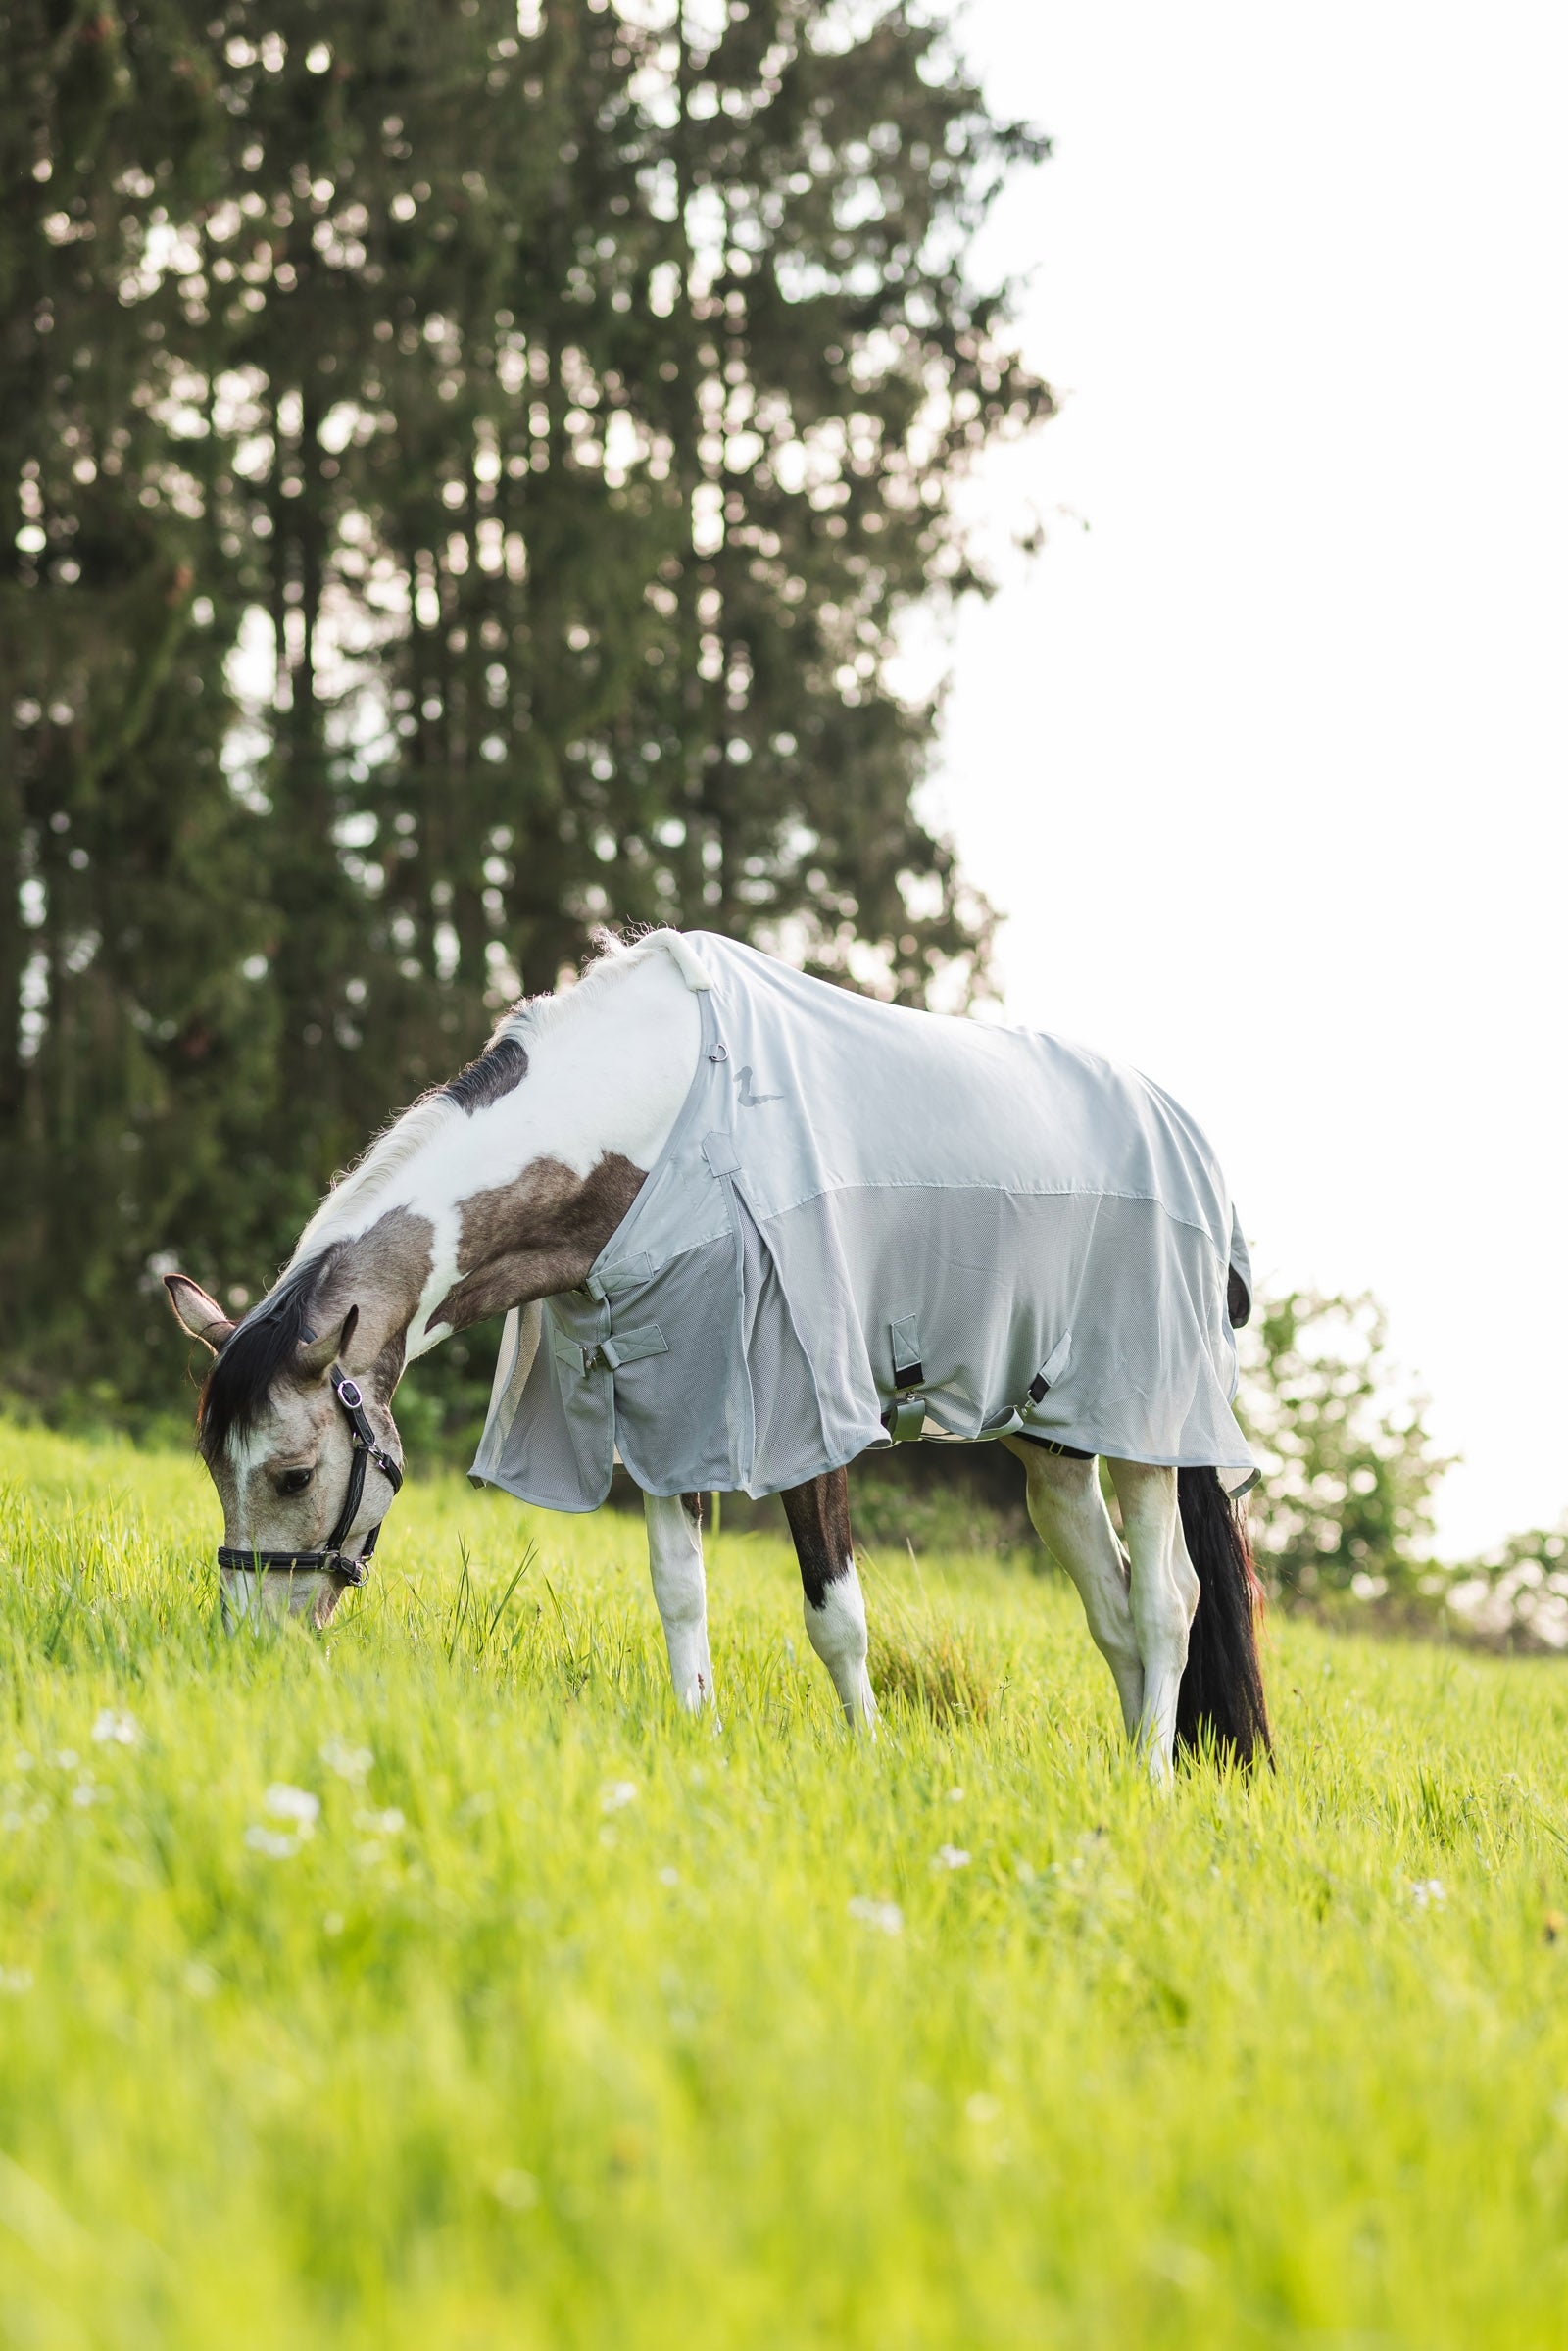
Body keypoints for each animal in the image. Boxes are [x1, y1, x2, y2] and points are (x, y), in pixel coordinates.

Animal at [164, 927, 1270, 1776]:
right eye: (215, 1467)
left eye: (295, 1472)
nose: (244, 1647)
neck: (649, 1127)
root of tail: (1197, 1154)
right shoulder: (669, 1401)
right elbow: (678, 1589)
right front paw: (698, 1733)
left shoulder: (803, 1414)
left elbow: (837, 1613)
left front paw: (867, 1760)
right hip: (1054, 1446)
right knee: (1113, 1609)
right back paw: (1125, 1773)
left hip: (1147, 1432)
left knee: (1166, 1603)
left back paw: (1152, 1783)